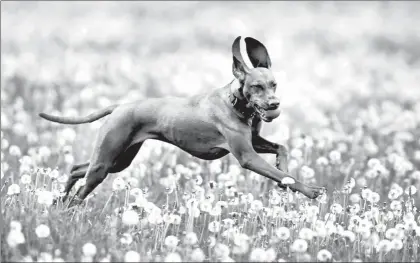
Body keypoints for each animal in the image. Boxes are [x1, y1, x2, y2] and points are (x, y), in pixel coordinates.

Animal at [40, 36, 324, 208]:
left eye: (274, 84)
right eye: (256, 87)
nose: (274, 105)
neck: (236, 103)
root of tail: (120, 106)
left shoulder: (254, 142)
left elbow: (282, 153)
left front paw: (285, 176)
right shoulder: (248, 156)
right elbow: (283, 174)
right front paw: (309, 190)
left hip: (119, 161)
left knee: (76, 168)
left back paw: (58, 199)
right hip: (106, 163)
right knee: (80, 191)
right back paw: (67, 206)